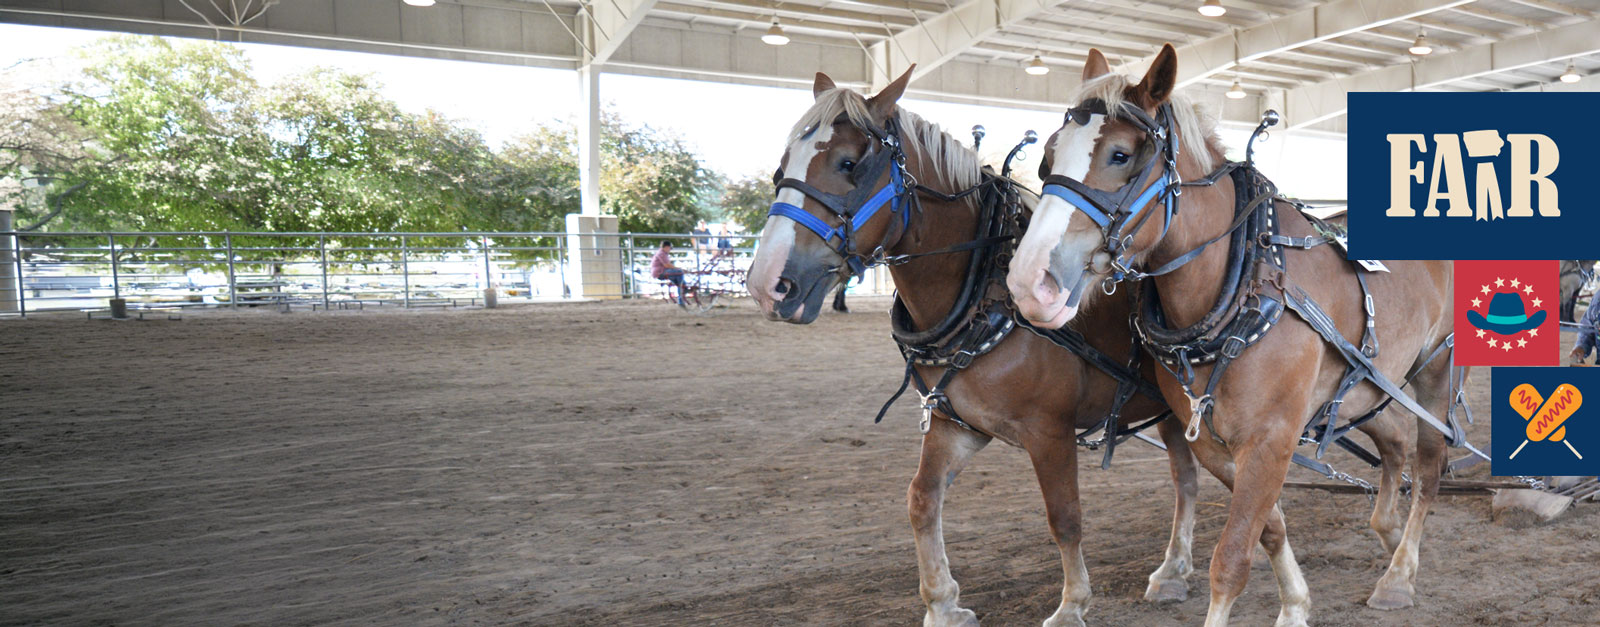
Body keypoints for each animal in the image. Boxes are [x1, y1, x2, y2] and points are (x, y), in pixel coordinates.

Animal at [745, 69, 1203, 626]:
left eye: (849, 163)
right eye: (783, 162)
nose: (768, 283)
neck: (986, 288)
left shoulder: (1049, 431)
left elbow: (1065, 517)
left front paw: (1072, 603)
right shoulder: (956, 423)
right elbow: (921, 500)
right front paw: (942, 602)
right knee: (1186, 477)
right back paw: (1173, 570)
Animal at [1006, 46, 1462, 626]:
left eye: (1120, 155)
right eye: (1046, 158)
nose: (1029, 281)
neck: (1239, 288)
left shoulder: (1272, 436)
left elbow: (1231, 560)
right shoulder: (1214, 443)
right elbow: (1268, 527)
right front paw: (1296, 604)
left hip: (1437, 366)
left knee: (1429, 463)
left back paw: (1399, 575)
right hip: (1364, 384)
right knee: (1396, 441)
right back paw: (1387, 530)